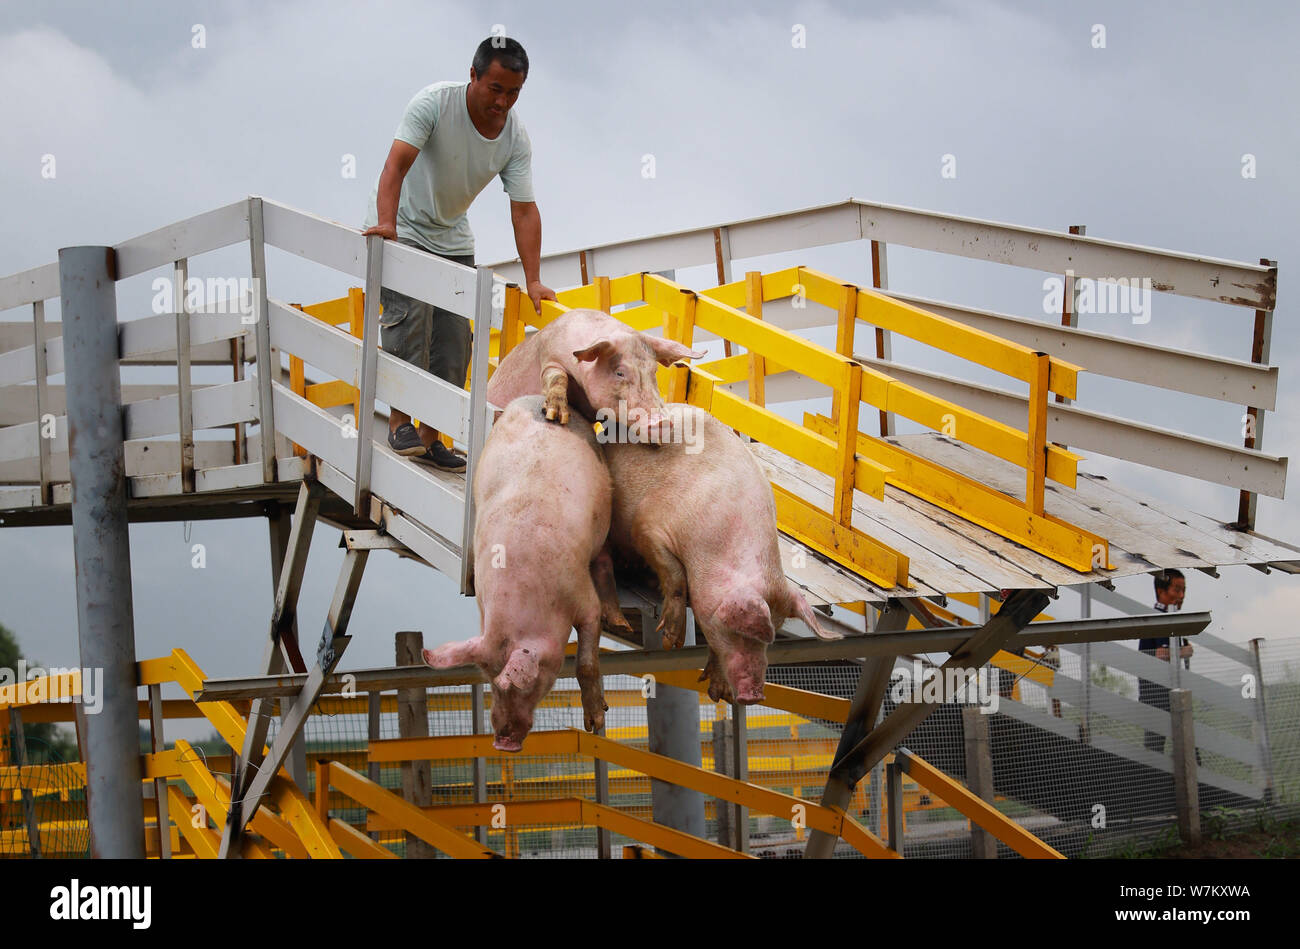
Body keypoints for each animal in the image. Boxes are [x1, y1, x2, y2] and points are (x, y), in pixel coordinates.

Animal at [421, 396, 633, 751]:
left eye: (525, 684)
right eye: (490, 680)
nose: (502, 743)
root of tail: (535, 399)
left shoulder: (581, 596)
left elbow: (586, 662)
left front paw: (595, 723)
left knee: (603, 560)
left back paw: (618, 621)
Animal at [485, 308, 705, 440]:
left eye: (654, 371)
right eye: (619, 372)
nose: (662, 421)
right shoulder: (548, 357)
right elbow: (557, 377)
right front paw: (557, 416)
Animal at [603, 404, 842, 704]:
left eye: (774, 635)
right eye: (739, 629)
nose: (755, 695)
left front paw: (718, 694)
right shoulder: (648, 525)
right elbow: (674, 573)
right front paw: (671, 640)